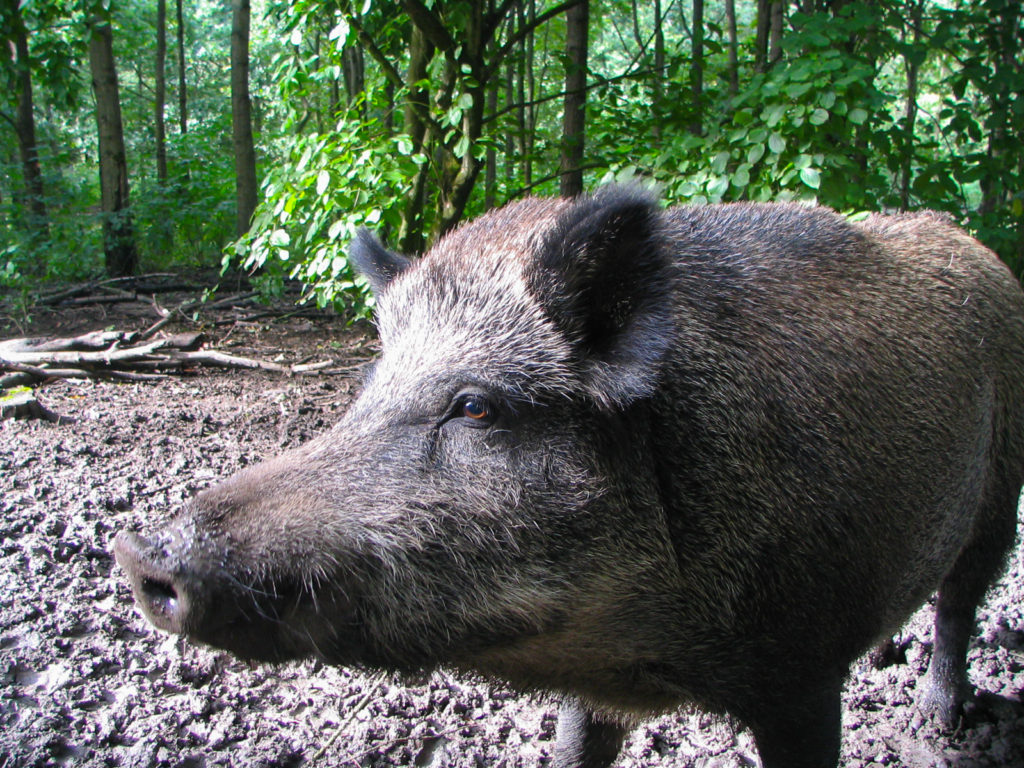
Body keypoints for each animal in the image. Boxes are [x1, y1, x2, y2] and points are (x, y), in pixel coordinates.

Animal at [114, 185, 1024, 768]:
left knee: (960, 601)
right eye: (370, 385)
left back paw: (944, 722)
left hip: (1000, 494)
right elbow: (575, 749)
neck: (647, 649)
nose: (138, 553)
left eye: (474, 407)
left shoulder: (799, 671)